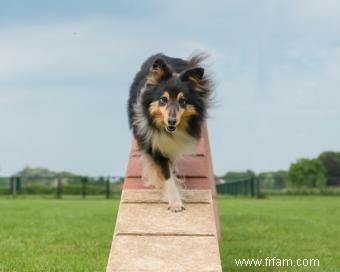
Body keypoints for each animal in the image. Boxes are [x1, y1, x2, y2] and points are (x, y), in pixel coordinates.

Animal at [128, 53, 212, 212]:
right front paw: (175, 203)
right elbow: (166, 175)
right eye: (163, 99)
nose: (172, 121)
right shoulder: (155, 146)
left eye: (182, 101)